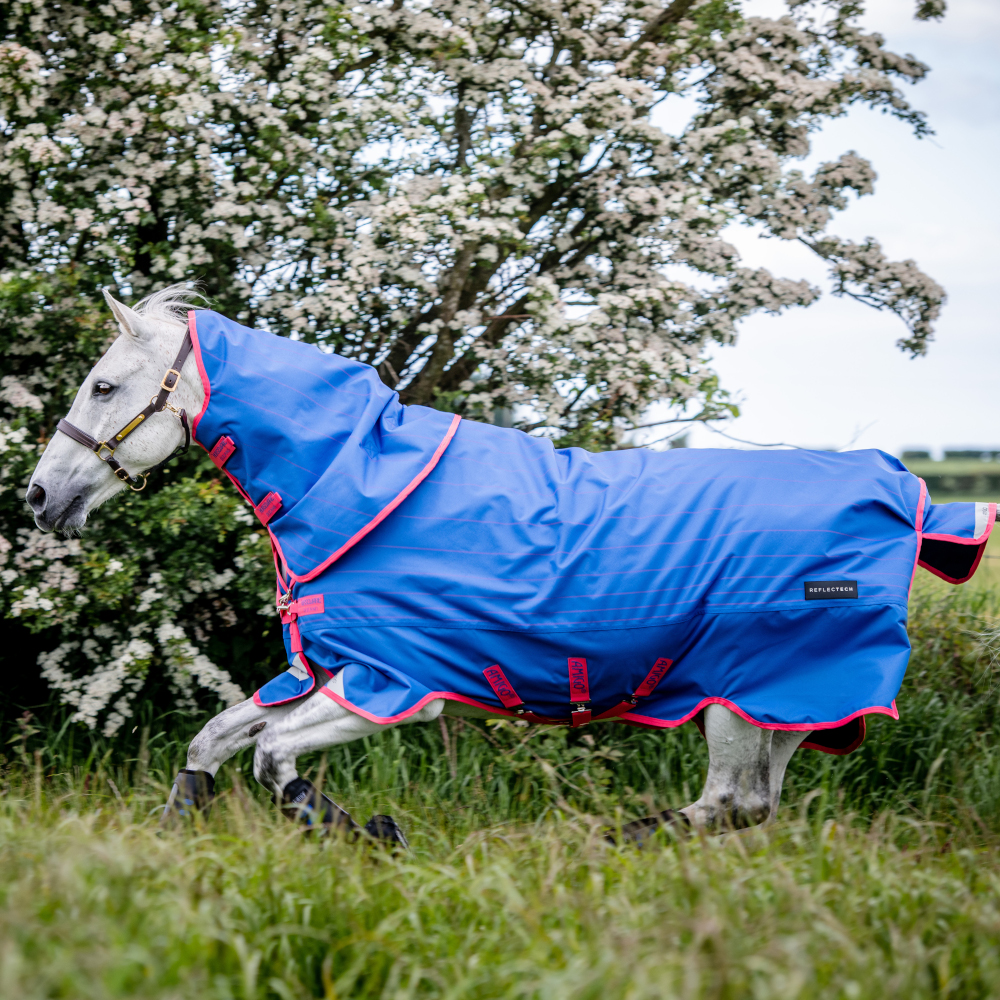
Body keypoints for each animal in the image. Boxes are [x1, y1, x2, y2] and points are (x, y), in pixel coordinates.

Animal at [26, 287, 993, 843]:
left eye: (104, 386)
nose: (39, 496)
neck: (357, 486)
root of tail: (907, 495)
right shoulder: (321, 672)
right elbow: (214, 742)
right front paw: (175, 830)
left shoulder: (390, 687)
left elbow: (273, 763)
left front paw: (373, 836)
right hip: (776, 701)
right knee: (751, 807)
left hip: (748, 687)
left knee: (731, 802)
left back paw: (597, 843)